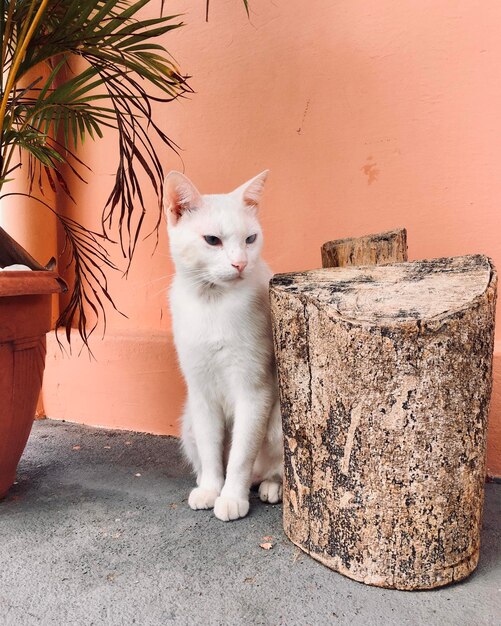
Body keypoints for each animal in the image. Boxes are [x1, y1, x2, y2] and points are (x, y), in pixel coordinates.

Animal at [163, 168, 282, 520]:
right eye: (212, 240)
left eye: (250, 239)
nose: (240, 263)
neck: (212, 303)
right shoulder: (201, 393)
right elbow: (211, 449)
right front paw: (211, 489)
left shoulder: (254, 392)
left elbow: (241, 456)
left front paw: (230, 497)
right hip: (188, 420)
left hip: (277, 420)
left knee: (270, 469)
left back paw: (270, 486)